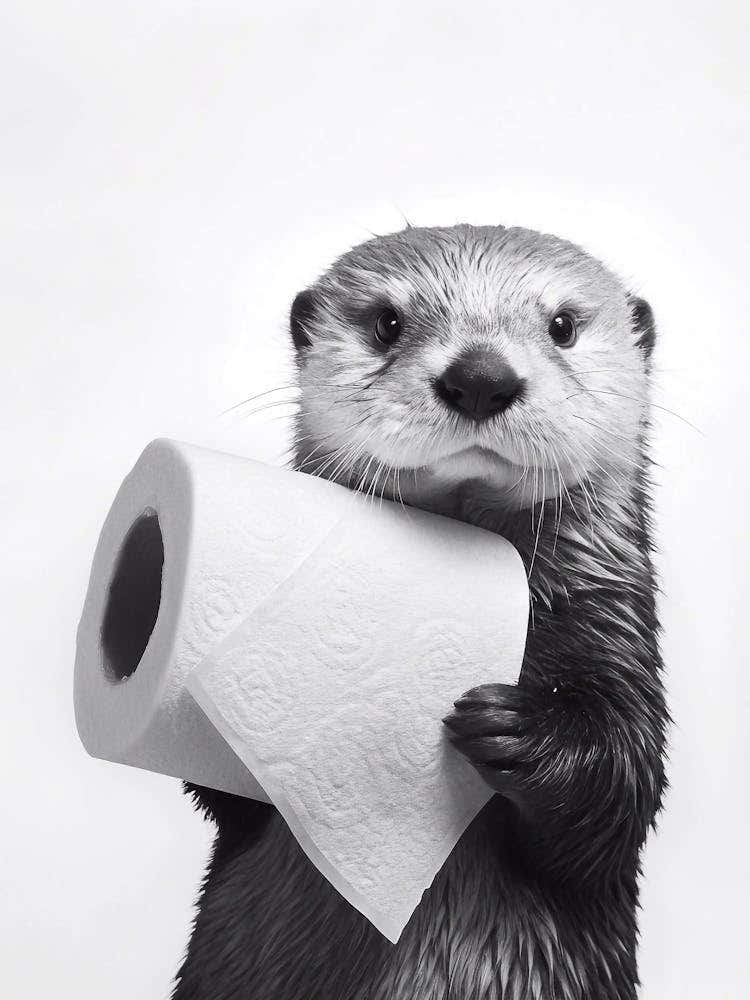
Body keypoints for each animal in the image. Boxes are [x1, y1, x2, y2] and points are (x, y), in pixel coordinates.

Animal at [173, 224, 668, 1000]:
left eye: (562, 325)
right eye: (387, 322)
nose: (482, 376)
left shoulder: (617, 632)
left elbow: (619, 793)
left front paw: (515, 727)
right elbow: (226, 796)